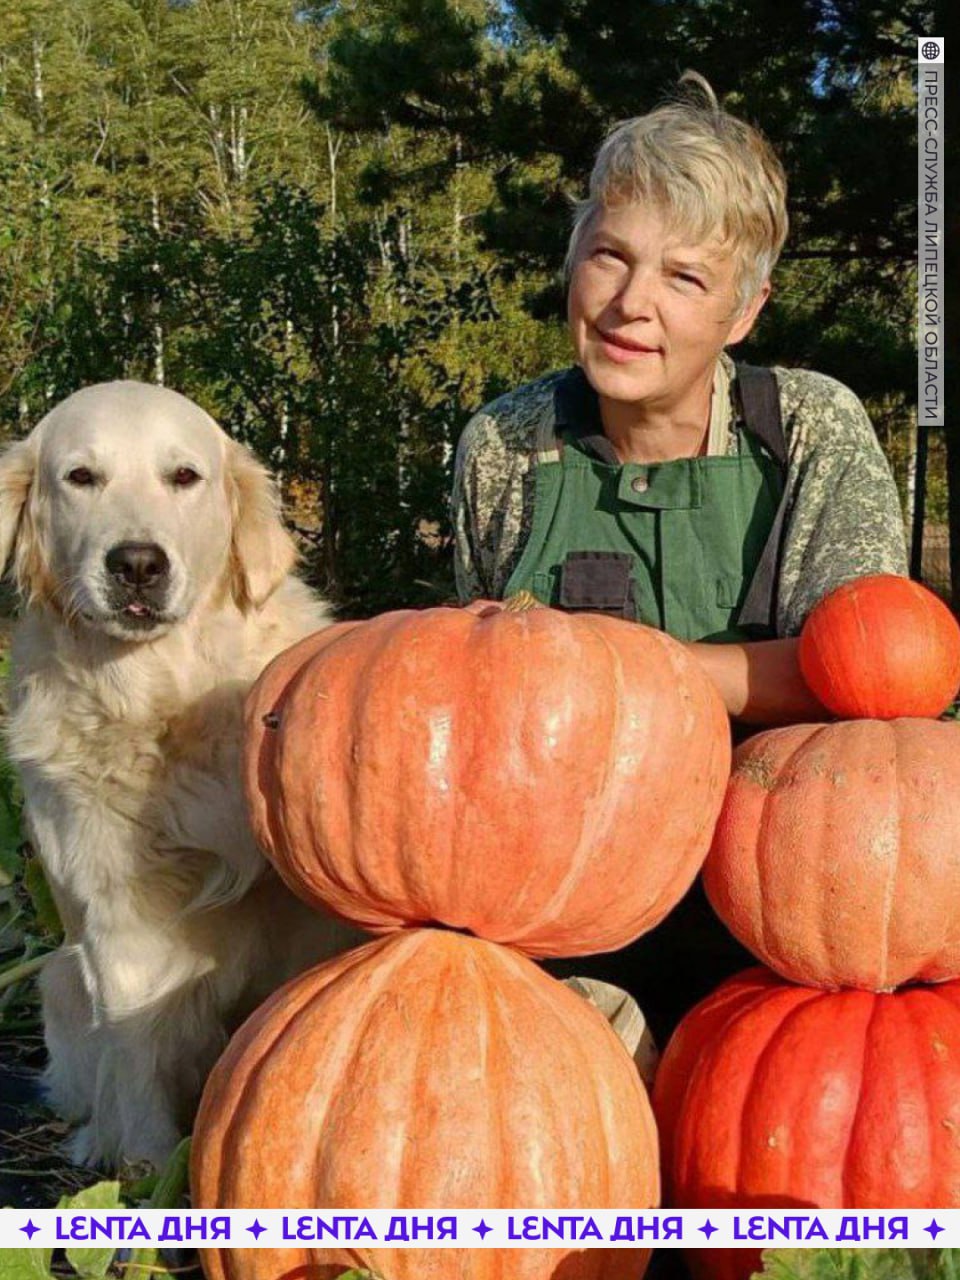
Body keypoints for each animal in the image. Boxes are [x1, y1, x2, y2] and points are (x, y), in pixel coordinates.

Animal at [0, 378, 360, 1172]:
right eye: (80, 477)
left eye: (183, 476)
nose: (137, 563)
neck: (159, 702)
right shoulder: (116, 916)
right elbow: (135, 1047)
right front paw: (145, 1169)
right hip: (59, 975)